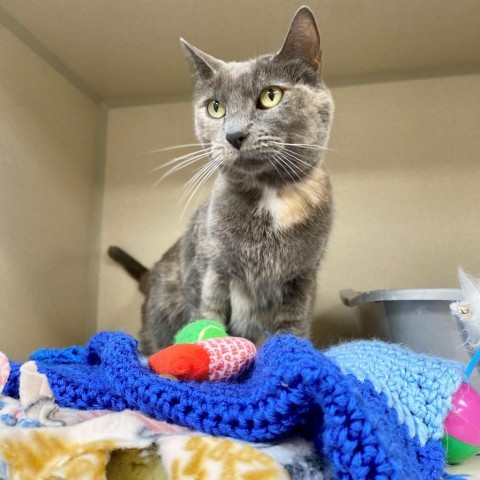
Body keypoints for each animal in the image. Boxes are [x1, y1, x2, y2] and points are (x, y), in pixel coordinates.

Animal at [109, 5, 334, 354]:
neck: (270, 196)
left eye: (271, 96)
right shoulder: (213, 270)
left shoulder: (302, 279)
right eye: (216, 108)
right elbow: (210, 313)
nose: (234, 134)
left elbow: (292, 327)